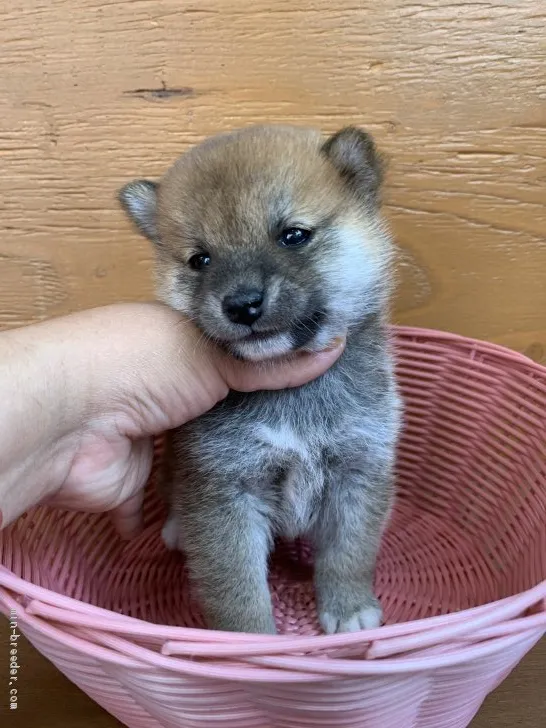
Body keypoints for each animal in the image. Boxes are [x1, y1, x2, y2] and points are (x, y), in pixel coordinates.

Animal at [118, 123, 400, 632]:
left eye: (293, 235)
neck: (292, 394)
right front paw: (249, 640)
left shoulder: (359, 469)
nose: (242, 304)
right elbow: (236, 588)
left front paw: (348, 608)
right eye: (200, 260)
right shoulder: (223, 490)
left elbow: (349, 553)